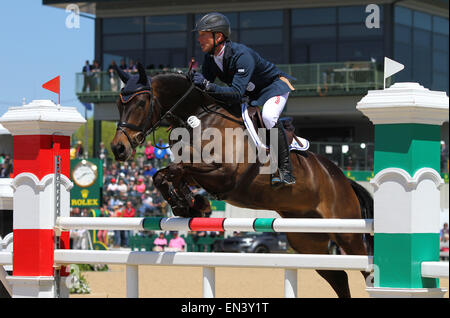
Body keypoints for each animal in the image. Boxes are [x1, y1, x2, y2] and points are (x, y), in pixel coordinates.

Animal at [110, 62, 374, 298]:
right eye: (118, 105)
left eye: (141, 103)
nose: (118, 148)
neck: (198, 119)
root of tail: (344, 179)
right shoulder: (200, 173)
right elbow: (164, 174)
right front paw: (188, 205)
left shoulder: (224, 175)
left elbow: (176, 169)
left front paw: (190, 204)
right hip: (307, 240)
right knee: (338, 276)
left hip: (346, 233)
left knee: (365, 269)